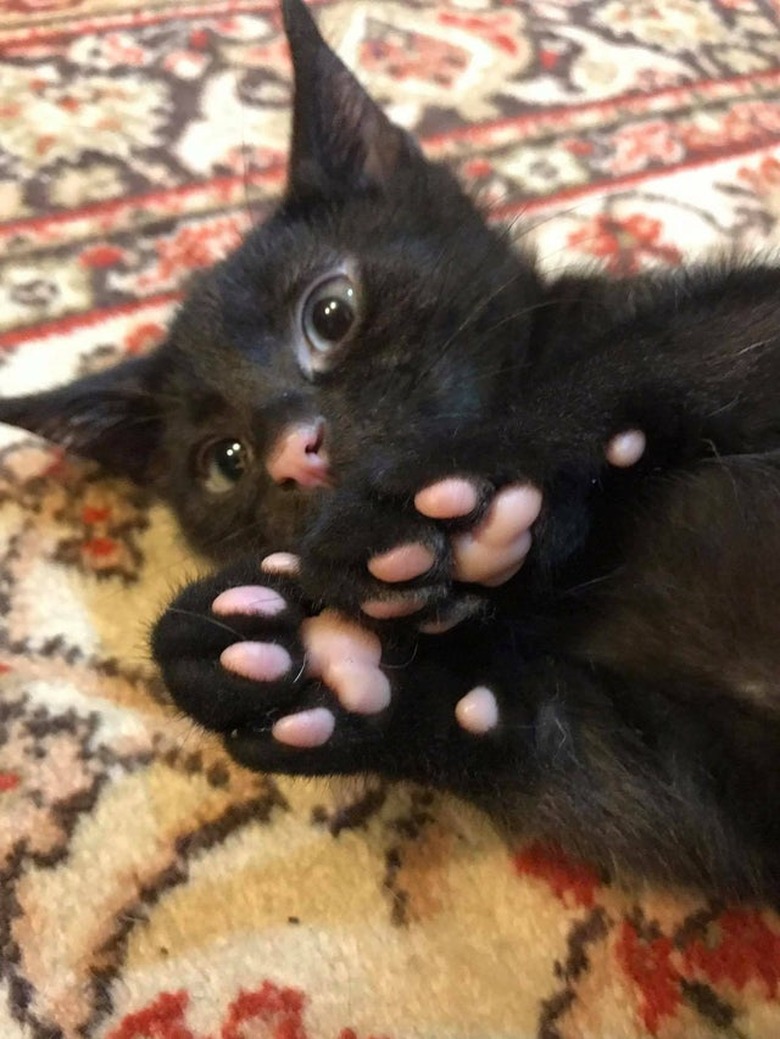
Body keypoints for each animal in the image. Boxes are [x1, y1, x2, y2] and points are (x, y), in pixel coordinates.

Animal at [4, 0, 780, 901]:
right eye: (224, 460)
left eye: (331, 312)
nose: (292, 453)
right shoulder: (723, 786)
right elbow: (591, 768)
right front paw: (305, 662)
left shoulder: (733, 321)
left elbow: (640, 355)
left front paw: (427, 503)